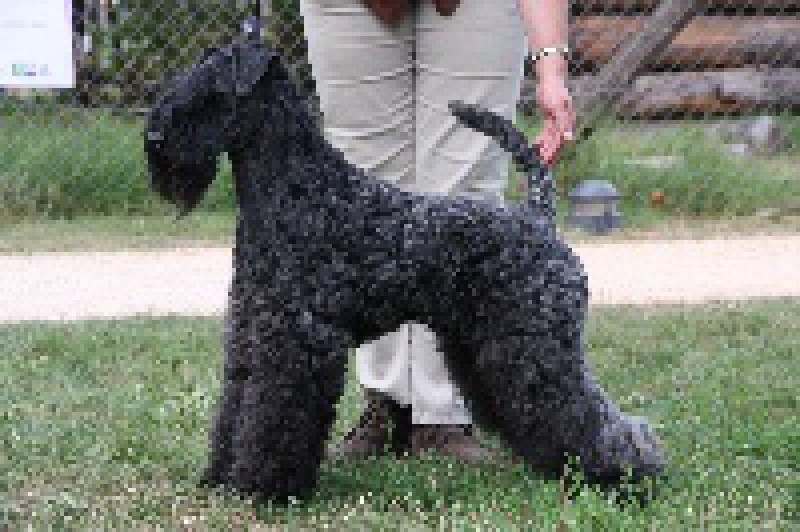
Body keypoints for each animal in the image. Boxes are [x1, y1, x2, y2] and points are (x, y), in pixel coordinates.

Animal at [145, 35, 668, 500]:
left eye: (211, 91)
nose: (154, 137)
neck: (296, 190)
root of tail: (536, 217)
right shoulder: (251, 330)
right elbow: (236, 408)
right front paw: (220, 477)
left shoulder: (296, 339)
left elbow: (274, 415)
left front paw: (263, 487)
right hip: (483, 345)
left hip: (536, 342)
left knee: (592, 413)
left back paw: (626, 475)